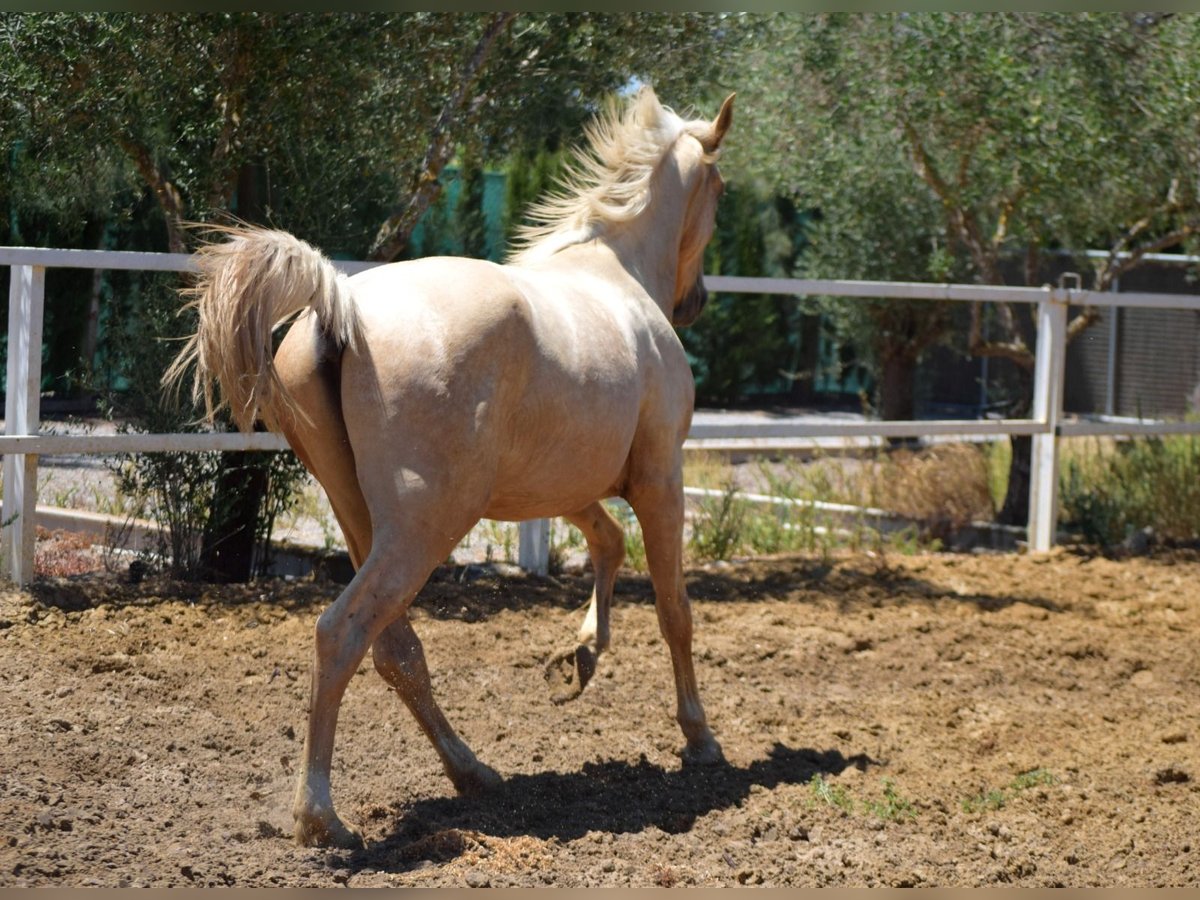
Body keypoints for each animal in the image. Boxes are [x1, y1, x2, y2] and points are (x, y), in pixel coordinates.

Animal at [165, 86, 735, 848]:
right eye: (720, 190)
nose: (696, 301)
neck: (614, 271)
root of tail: (338, 309)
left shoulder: (555, 485)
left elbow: (608, 542)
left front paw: (579, 658)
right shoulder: (659, 478)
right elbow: (675, 609)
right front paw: (700, 739)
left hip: (364, 519)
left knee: (395, 651)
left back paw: (473, 772)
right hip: (426, 526)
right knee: (341, 634)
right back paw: (320, 817)